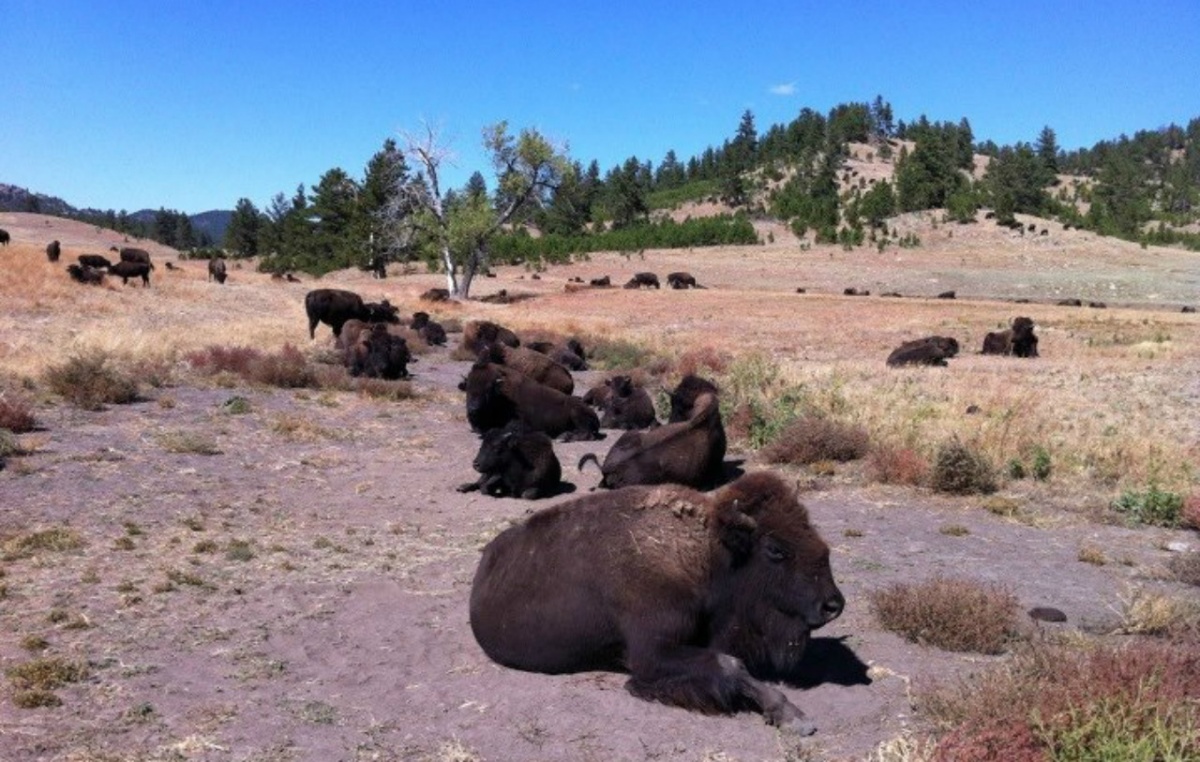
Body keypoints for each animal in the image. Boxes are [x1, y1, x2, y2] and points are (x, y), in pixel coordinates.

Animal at [463, 360, 604, 444]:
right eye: (467, 387)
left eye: (488, 390)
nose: (473, 409)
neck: (501, 395)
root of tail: (594, 415)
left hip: (576, 413)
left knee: (587, 434)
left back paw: (563, 438)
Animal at [468, 475, 844, 734]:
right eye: (776, 549)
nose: (833, 604)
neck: (707, 554)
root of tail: (486, 561)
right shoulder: (651, 651)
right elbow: (730, 665)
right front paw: (792, 716)